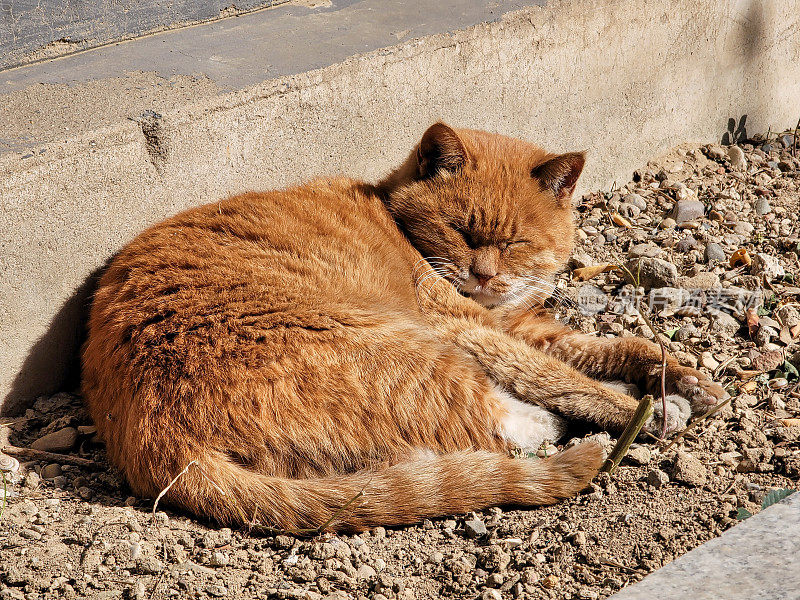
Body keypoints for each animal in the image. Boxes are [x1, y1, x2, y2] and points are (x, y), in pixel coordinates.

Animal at [79, 122, 724, 528]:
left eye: (515, 242)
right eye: (461, 231)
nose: (484, 274)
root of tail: (157, 443)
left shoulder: (520, 325)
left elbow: (611, 346)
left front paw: (688, 378)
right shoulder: (467, 328)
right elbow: (557, 376)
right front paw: (649, 404)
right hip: (407, 347)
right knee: (497, 428)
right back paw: (620, 416)